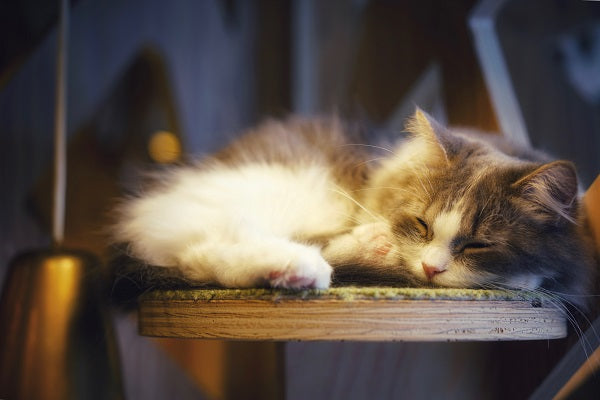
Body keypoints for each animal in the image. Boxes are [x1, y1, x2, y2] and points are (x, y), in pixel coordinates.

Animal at [111, 110, 596, 310]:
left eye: (478, 244)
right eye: (421, 224)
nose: (431, 269)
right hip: (302, 191)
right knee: (211, 249)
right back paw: (301, 266)